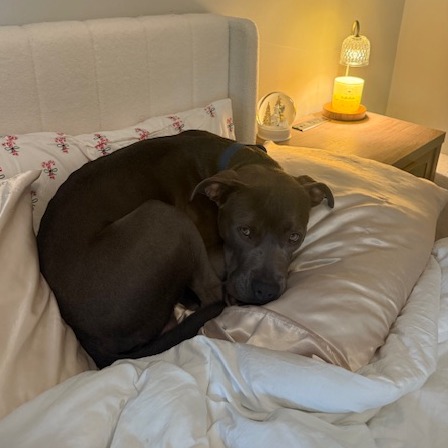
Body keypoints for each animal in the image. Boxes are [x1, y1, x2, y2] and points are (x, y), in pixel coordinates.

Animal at [37, 130, 334, 368]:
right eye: (245, 231)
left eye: (295, 236)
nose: (266, 291)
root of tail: (88, 339)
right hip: (165, 217)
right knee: (212, 294)